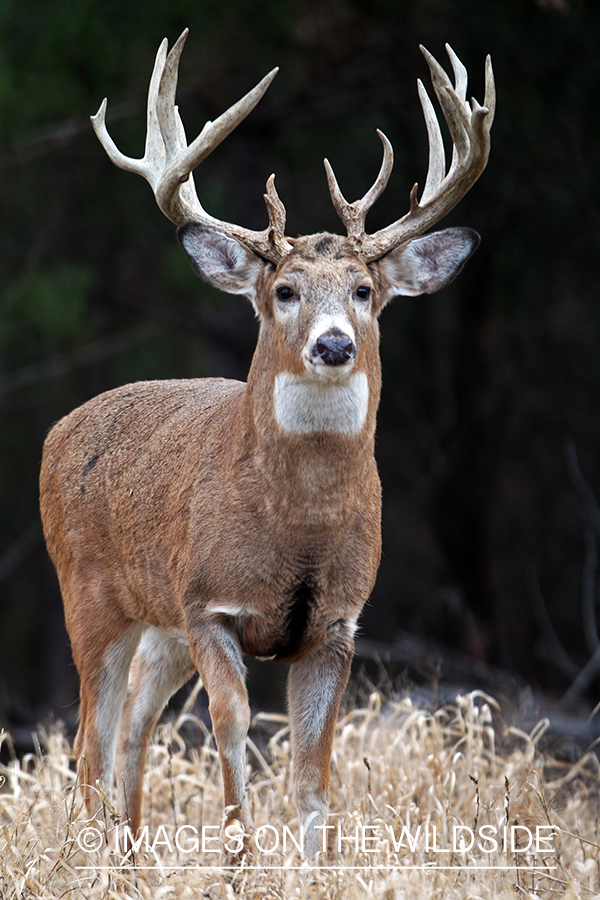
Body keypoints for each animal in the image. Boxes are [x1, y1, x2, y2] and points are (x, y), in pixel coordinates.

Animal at [39, 31, 494, 864]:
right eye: (284, 291)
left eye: (364, 291)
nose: (335, 344)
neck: (299, 526)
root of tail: (60, 429)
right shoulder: (209, 604)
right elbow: (233, 732)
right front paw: (240, 862)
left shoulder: (338, 624)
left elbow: (313, 771)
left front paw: (317, 869)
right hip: (89, 596)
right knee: (90, 739)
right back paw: (91, 859)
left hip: (159, 622)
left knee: (131, 727)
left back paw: (131, 859)